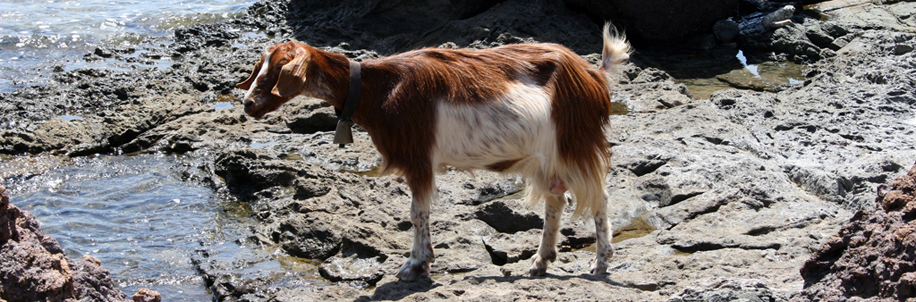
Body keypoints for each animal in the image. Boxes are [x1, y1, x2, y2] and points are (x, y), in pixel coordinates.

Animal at [236, 24, 632, 280]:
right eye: (258, 69)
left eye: (277, 72)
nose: (248, 104)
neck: (377, 88)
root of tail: (593, 76)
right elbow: (420, 212)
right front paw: (423, 261)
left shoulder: (419, 158)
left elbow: (417, 212)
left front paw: (415, 265)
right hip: (547, 154)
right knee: (555, 198)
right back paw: (541, 260)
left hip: (575, 141)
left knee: (599, 197)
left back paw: (601, 262)